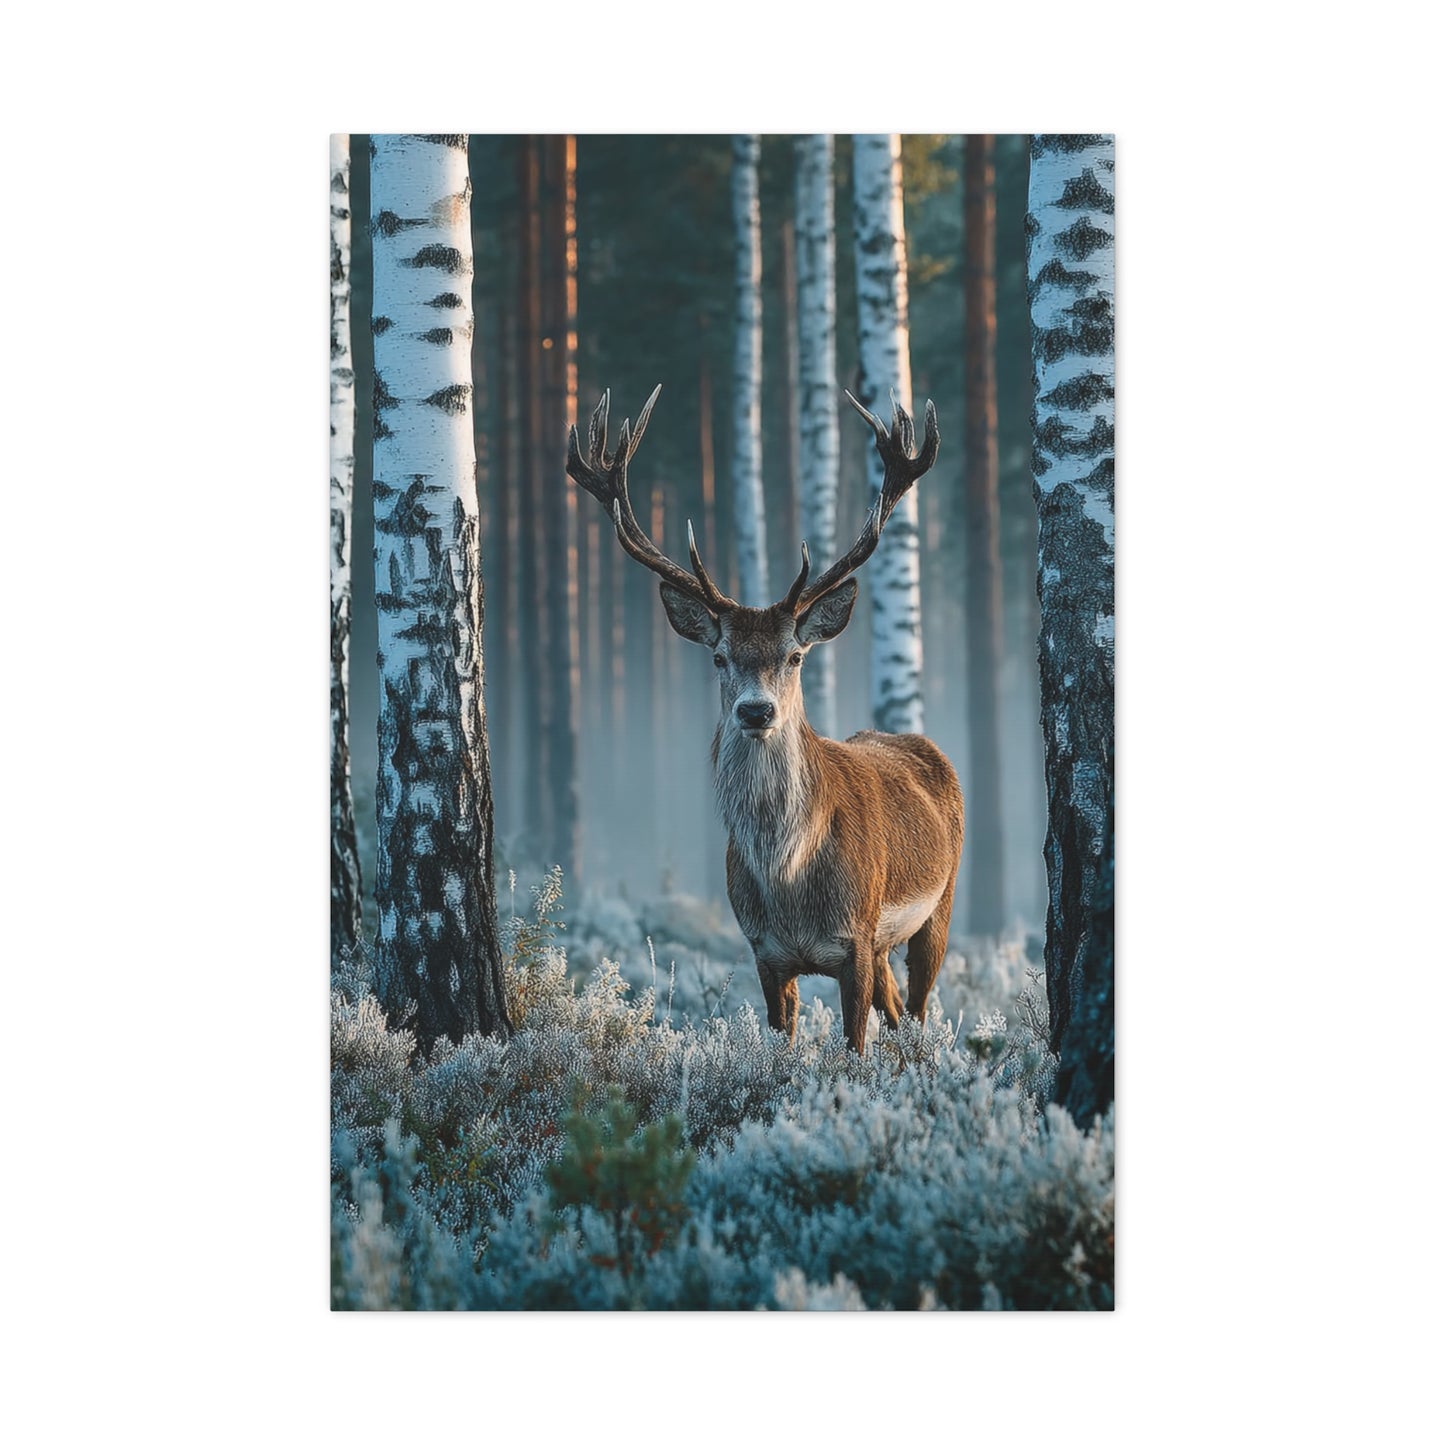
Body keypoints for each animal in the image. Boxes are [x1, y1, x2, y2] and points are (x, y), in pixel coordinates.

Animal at [566, 384, 963, 1054]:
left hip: (939, 902)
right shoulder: (765, 950)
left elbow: (856, 1046)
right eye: (720, 656)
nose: (756, 710)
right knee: (896, 1010)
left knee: (916, 1012)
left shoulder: (857, 936)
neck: (789, 883)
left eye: (794, 655)